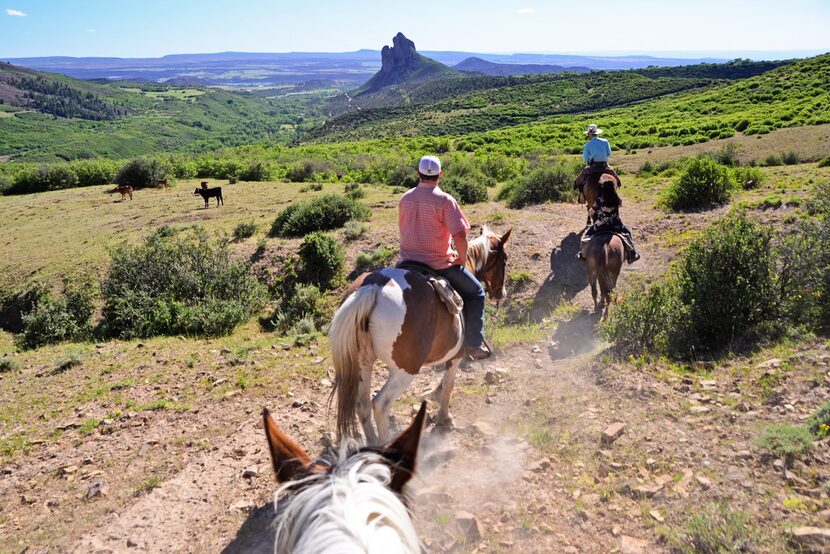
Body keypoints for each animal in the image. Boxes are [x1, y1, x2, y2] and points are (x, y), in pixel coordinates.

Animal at [330, 222, 510, 442]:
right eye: (504, 259)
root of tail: (372, 287)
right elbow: (448, 385)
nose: (501, 293)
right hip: (405, 370)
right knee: (380, 405)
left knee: (361, 405)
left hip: (362, 363)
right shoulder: (456, 356)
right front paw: (445, 418)